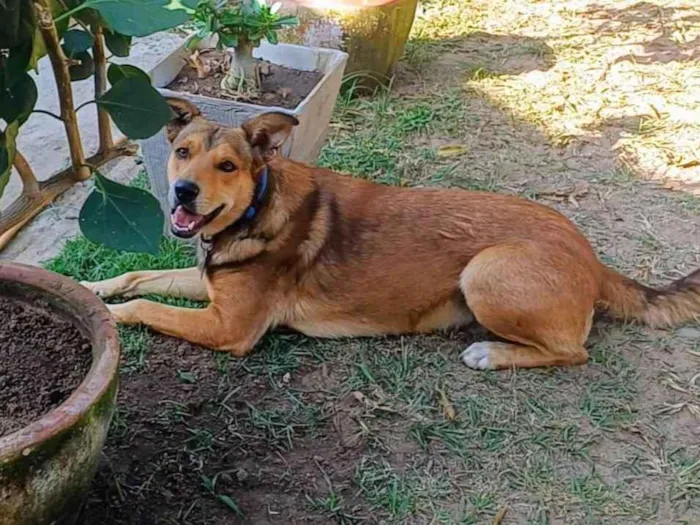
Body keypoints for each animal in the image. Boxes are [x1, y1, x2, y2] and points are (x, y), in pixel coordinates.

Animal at [80, 97, 700, 368]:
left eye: (227, 166)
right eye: (182, 153)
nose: (183, 193)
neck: (256, 208)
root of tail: (590, 256)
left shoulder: (228, 326)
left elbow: (146, 307)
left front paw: (108, 314)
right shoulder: (209, 283)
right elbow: (139, 275)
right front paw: (94, 290)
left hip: (486, 271)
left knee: (574, 353)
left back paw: (491, 353)